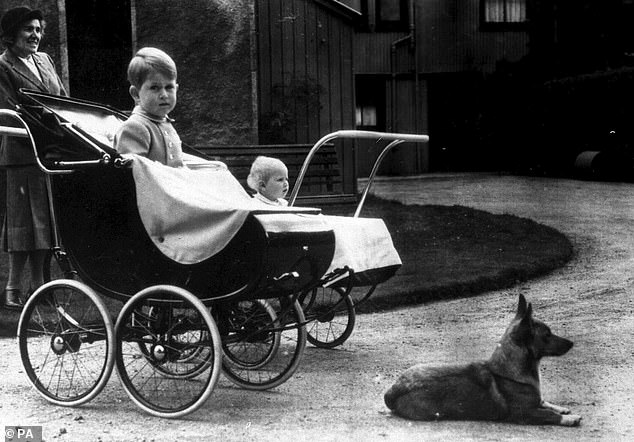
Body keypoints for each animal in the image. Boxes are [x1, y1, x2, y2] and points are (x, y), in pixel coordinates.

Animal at [382, 296, 580, 426]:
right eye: (547, 335)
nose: (572, 343)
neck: (508, 371)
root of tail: (393, 389)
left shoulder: (536, 402)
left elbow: (544, 402)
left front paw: (561, 408)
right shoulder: (524, 413)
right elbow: (549, 415)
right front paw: (569, 418)